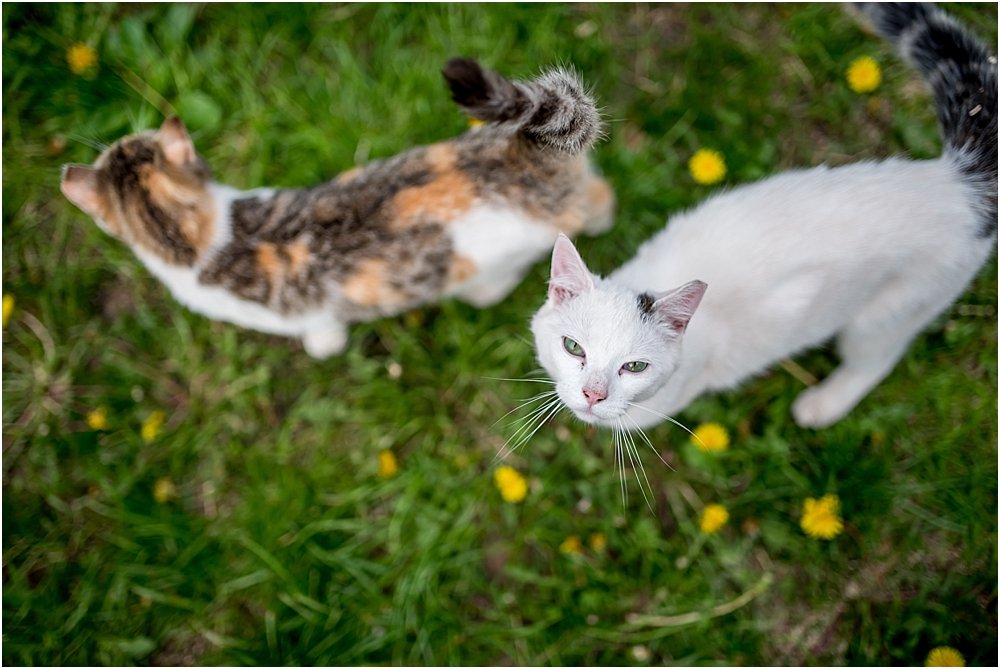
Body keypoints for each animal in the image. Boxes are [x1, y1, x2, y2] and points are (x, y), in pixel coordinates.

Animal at [532, 2, 992, 430]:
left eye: (634, 367)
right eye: (574, 348)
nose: (593, 394)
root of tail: (955, 181)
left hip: (893, 310)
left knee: (876, 358)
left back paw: (824, 405)